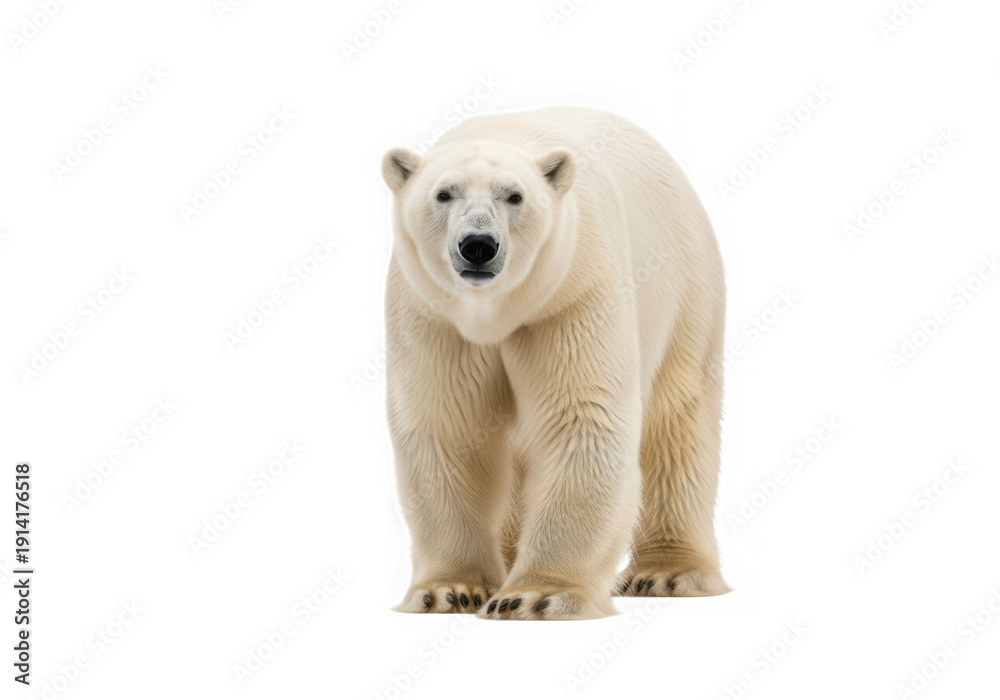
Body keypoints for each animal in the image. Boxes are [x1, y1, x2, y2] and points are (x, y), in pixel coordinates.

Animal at [381, 105, 729, 620]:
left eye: (515, 196)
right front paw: (451, 590)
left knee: (677, 418)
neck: (496, 313)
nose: (478, 245)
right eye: (443, 193)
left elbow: (580, 419)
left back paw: (667, 573)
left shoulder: (573, 293)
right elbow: (448, 428)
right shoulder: (432, 315)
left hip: (686, 287)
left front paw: (534, 595)